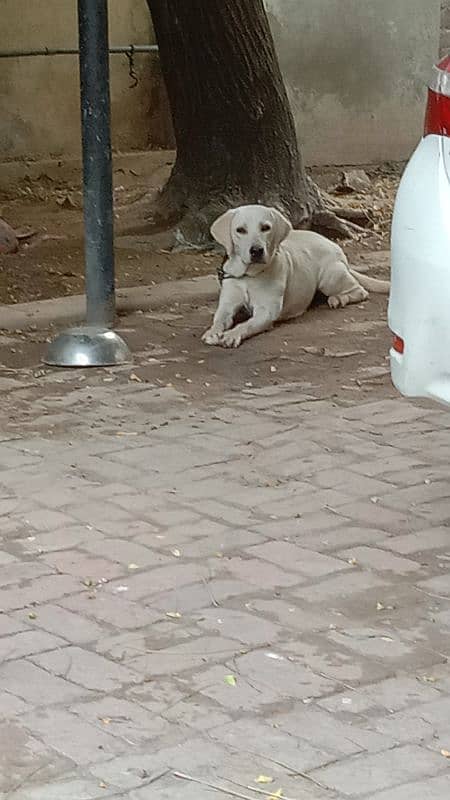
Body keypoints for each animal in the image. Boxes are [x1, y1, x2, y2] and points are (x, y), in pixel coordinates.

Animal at [202, 203, 388, 346]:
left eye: (265, 228)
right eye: (240, 230)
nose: (256, 250)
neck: (249, 275)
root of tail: (336, 248)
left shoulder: (266, 312)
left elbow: (246, 325)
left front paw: (232, 335)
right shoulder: (227, 305)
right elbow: (219, 319)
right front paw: (213, 332)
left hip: (329, 277)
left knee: (360, 291)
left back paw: (339, 299)